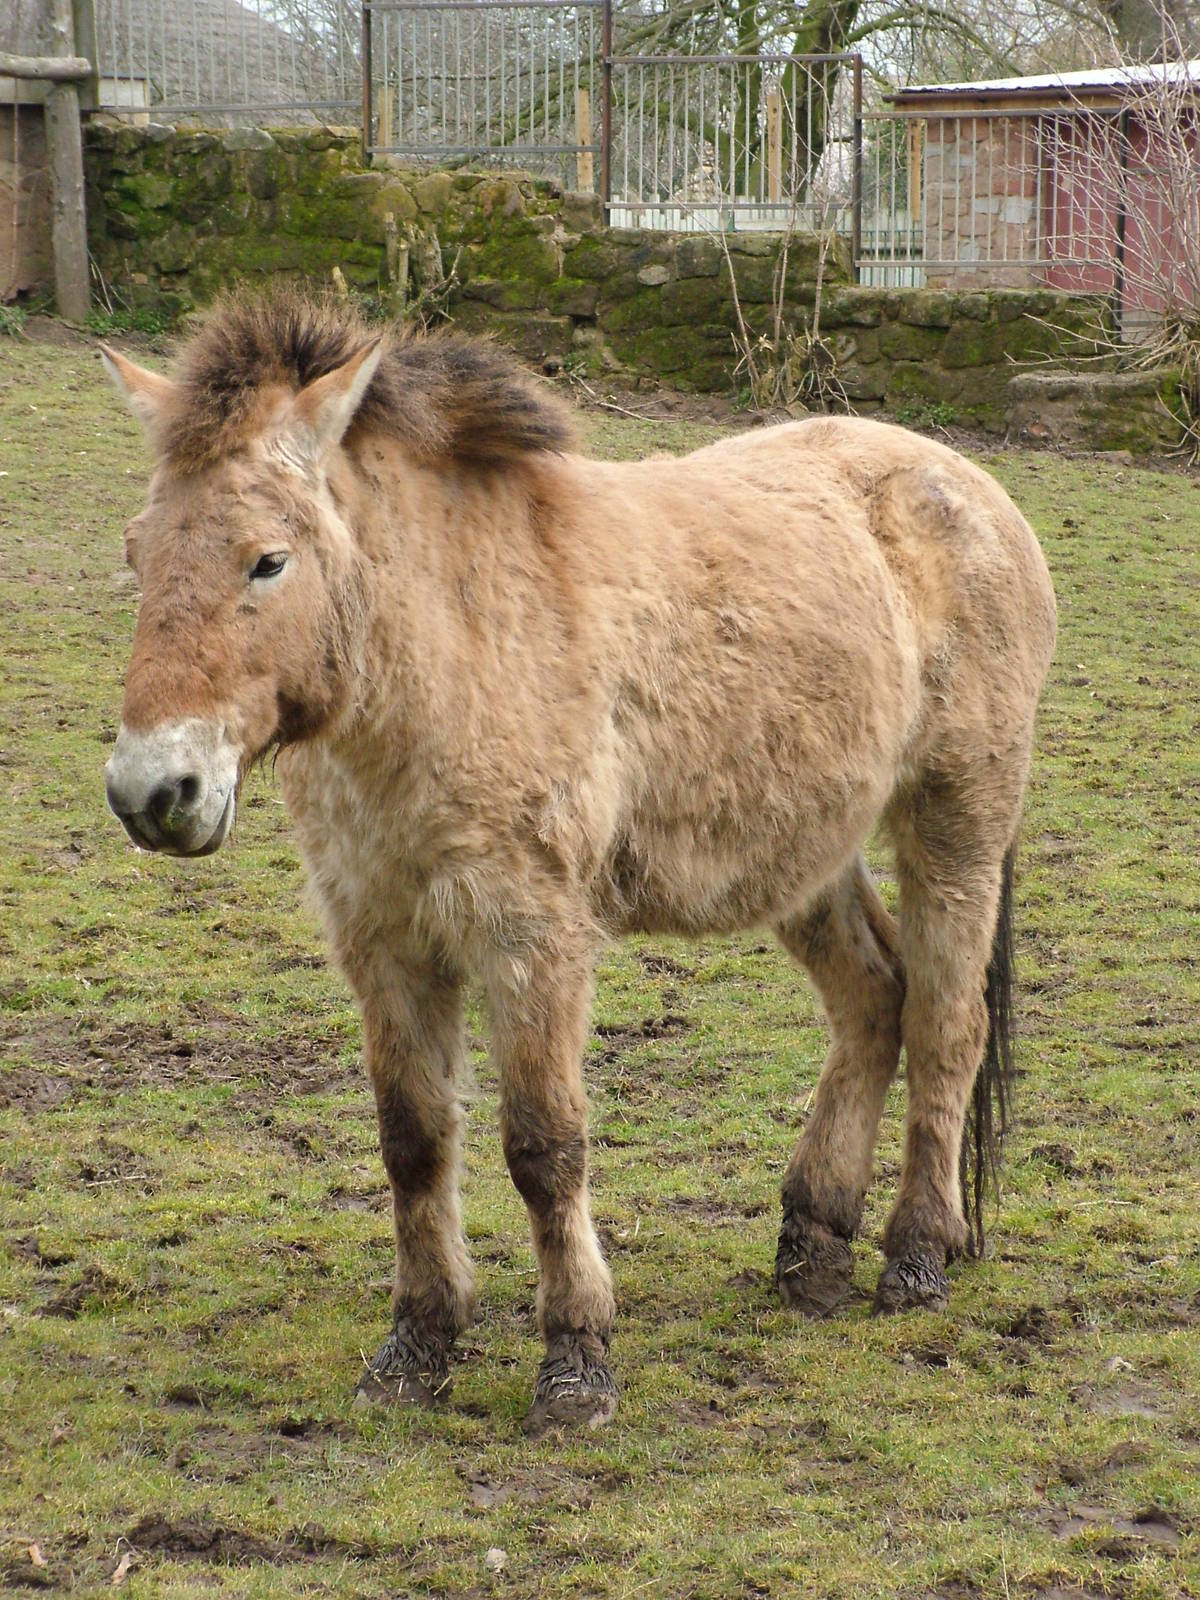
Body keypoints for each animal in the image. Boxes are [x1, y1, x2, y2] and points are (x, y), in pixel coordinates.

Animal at [101, 292, 1056, 1434]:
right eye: (138, 552)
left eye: (267, 560)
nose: (154, 791)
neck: (448, 642)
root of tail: (967, 482)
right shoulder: (382, 932)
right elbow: (412, 1138)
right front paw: (416, 1347)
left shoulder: (532, 932)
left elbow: (544, 1145)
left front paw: (575, 1362)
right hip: (806, 849)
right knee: (875, 999)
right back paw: (813, 1242)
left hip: (956, 822)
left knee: (947, 1022)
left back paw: (914, 1257)